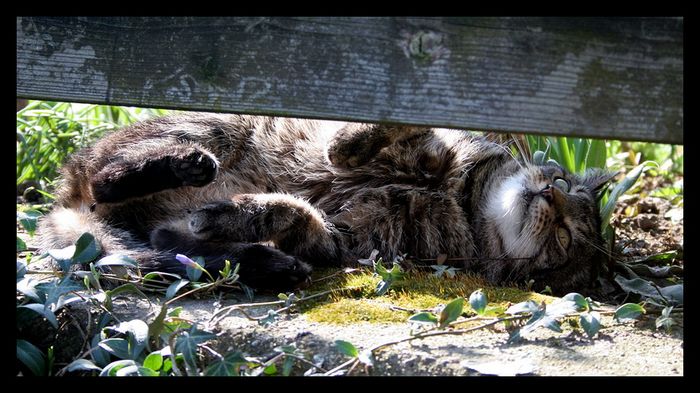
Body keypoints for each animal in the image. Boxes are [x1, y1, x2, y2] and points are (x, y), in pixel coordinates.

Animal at [35, 112, 616, 292]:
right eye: (562, 180)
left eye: (565, 236)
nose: (549, 193)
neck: (466, 201)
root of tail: (66, 200)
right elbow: (407, 136)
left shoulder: (347, 242)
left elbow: (301, 215)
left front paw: (244, 214)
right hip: (214, 126)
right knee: (106, 180)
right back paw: (185, 167)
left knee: (171, 244)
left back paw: (265, 260)